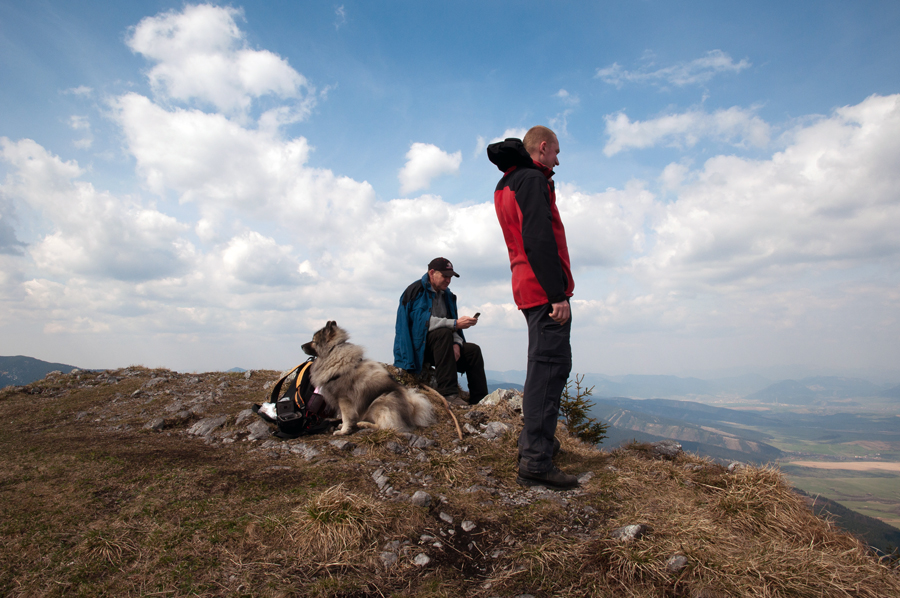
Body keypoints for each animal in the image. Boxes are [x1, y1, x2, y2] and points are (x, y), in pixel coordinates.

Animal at [302, 324, 436, 436]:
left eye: (313, 341)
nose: (301, 346)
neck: (333, 353)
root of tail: (412, 412)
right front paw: (343, 427)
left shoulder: (344, 399)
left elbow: (346, 417)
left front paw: (343, 431)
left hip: (380, 402)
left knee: (385, 427)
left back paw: (364, 424)